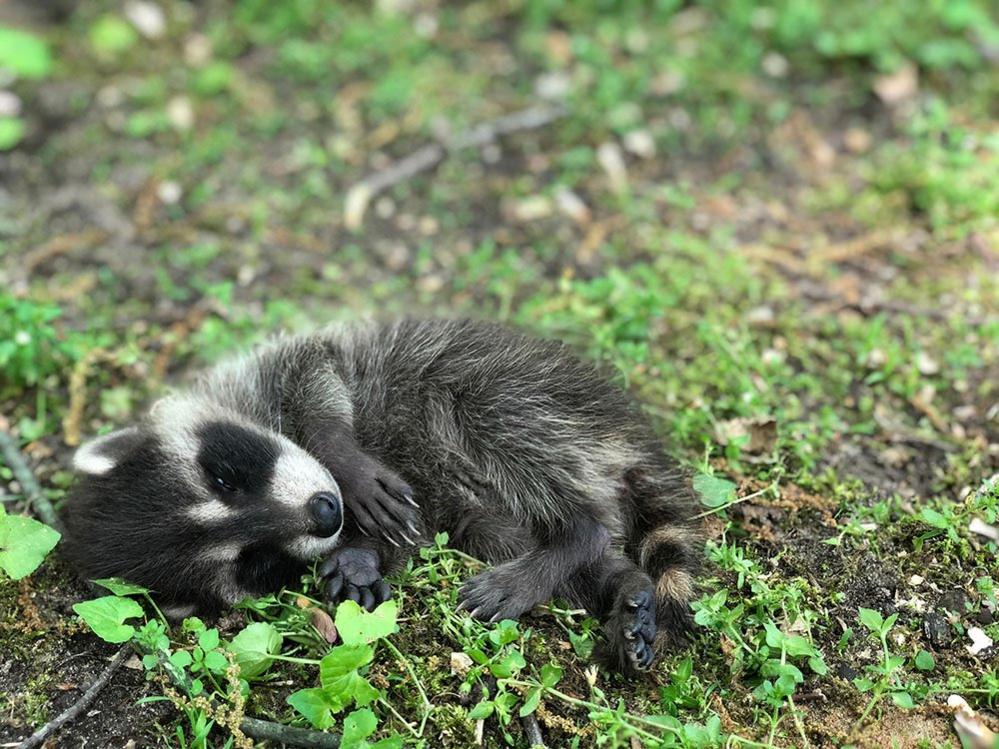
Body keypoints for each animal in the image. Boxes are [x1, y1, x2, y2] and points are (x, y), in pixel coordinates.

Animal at [62, 318, 704, 668]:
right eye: (254, 562)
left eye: (224, 479)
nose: (326, 514)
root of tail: (623, 424)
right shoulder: (425, 510)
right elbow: (413, 533)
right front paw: (362, 559)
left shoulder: (270, 367)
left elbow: (314, 367)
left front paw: (338, 449)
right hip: (495, 499)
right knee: (519, 534)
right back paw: (619, 583)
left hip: (510, 389)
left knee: (507, 429)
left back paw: (576, 536)